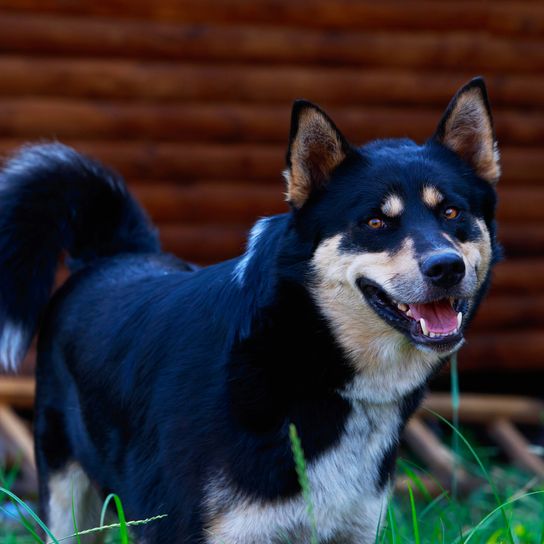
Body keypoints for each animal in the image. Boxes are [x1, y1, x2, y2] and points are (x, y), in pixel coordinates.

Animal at [0, 77, 502, 544]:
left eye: (452, 212)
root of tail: (114, 254)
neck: (301, 352)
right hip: (68, 501)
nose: (446, 267)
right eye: (376, 221)